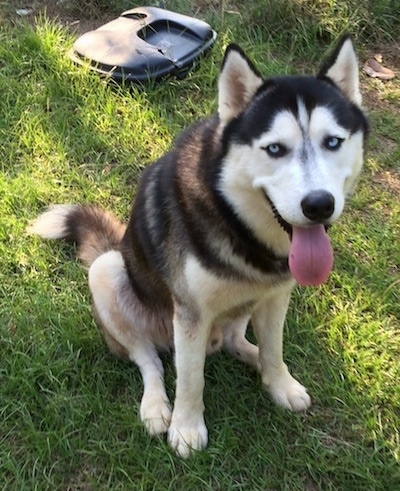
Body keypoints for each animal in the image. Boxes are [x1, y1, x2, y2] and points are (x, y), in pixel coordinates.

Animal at [28, 34, 368, 458]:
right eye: (275, 149)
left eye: (333, 142)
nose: (319, 204)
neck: (237, 223)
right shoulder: (190, 314)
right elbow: (190, 378)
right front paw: (186, 427)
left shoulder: (276, 295)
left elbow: (273, 348)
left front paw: (279, 383)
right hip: (108, 272)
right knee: (151, 362)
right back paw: (157, 406)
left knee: (237, 341)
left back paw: (255, 359)